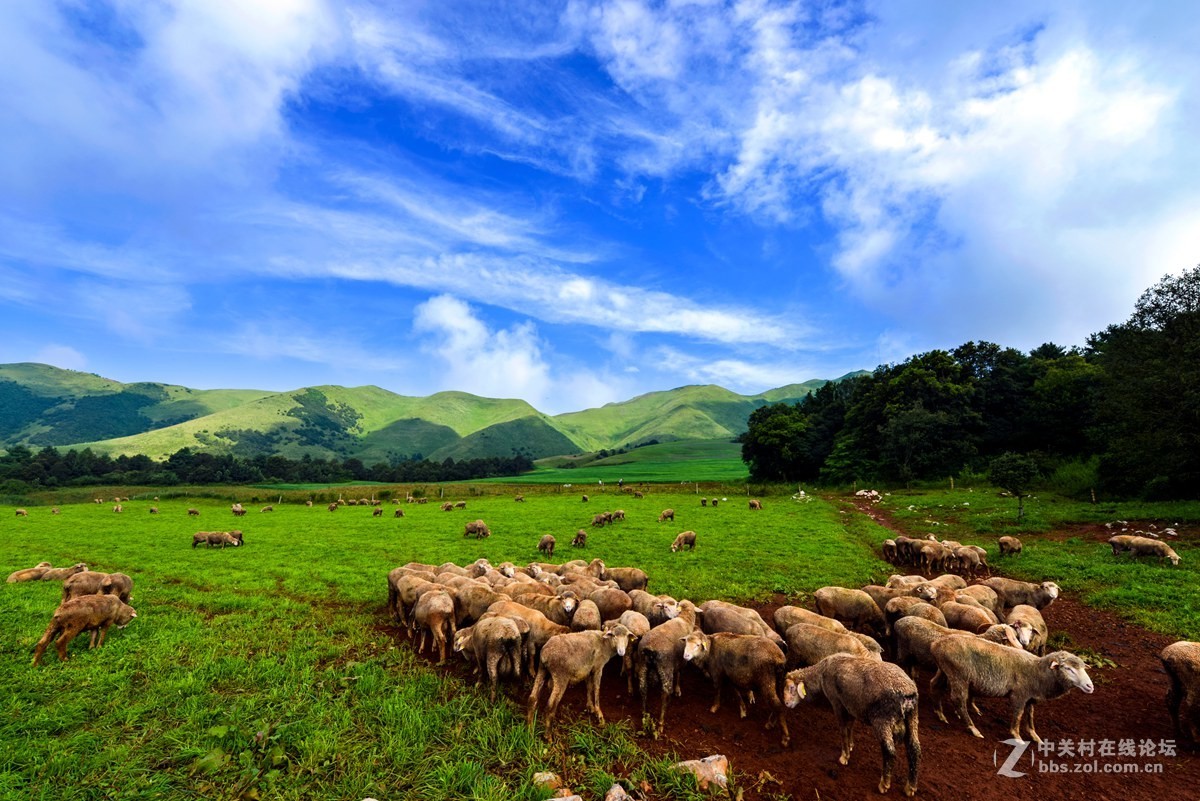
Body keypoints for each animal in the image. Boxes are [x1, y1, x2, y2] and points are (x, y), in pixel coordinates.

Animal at [633, 597, 700, 733]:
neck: (685, 619)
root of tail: (650, 649)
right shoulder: (682, 660)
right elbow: (679, 673)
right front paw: (678, 690)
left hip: (643, 664)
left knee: (643, 689)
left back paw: (645, 715)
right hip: (665, 668)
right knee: (665, 693)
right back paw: (661, 723)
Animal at [782, 652, 921, 796]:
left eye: (791, 688)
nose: (786, 703)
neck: (821, 674)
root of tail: (907, 692)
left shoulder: (837, 702)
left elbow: (843, 729)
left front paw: (844, 757)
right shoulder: (851, 705)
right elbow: (850, 727)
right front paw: (850, 746)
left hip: (882, 720)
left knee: (889, 751)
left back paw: (884, 784)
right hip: (913, 717)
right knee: (914, 748)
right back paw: (910, 787)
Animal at [926, 633, 1099, 743]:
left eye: (1083, 668)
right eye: (1068, 669)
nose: (1090, 686)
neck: (1037, 671)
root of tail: (935, 645)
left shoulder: (1030, 698)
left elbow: (1030, 716)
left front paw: (1035, 737)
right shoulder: (1019, 696)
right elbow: (1018, 715)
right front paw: (1017, 737)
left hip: (944, 670)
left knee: (934, 685)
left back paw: (940, 714)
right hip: (959, 676)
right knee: (958, 700)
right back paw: (973, 728)